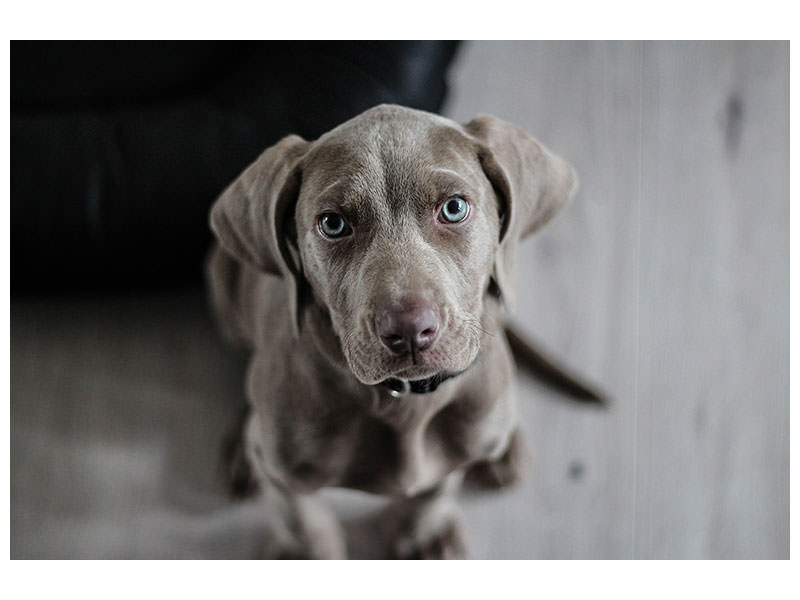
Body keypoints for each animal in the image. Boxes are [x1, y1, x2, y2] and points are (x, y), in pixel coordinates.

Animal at [208, 103, 588, 556]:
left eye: (454, 208)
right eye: (333, 224)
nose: (409, 331)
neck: (404, 402)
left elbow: (437, 487)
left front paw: (426, 534)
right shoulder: (284, 474)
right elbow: (302, 520)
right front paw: (307, 552)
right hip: (222, 281)